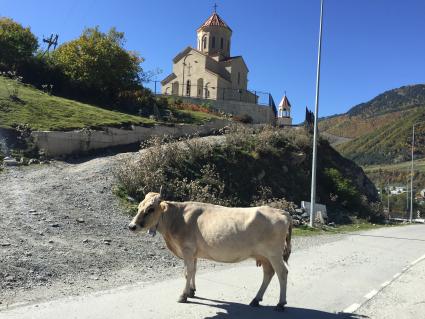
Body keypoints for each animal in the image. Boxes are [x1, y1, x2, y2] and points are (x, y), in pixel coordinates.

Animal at [128, 192, 292, 312]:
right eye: (139, 207)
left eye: (150, 209)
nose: (132, 226)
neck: (176, 218)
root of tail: (281, 211)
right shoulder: (193, 252)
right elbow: (193, 271)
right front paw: (192, 291)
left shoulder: (187, 249)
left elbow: (187, 272)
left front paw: (183, 295)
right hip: (263, 255)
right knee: (268, 273)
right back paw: (256, 300)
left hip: (274, 253)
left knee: (282, 273)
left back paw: (280, 303)